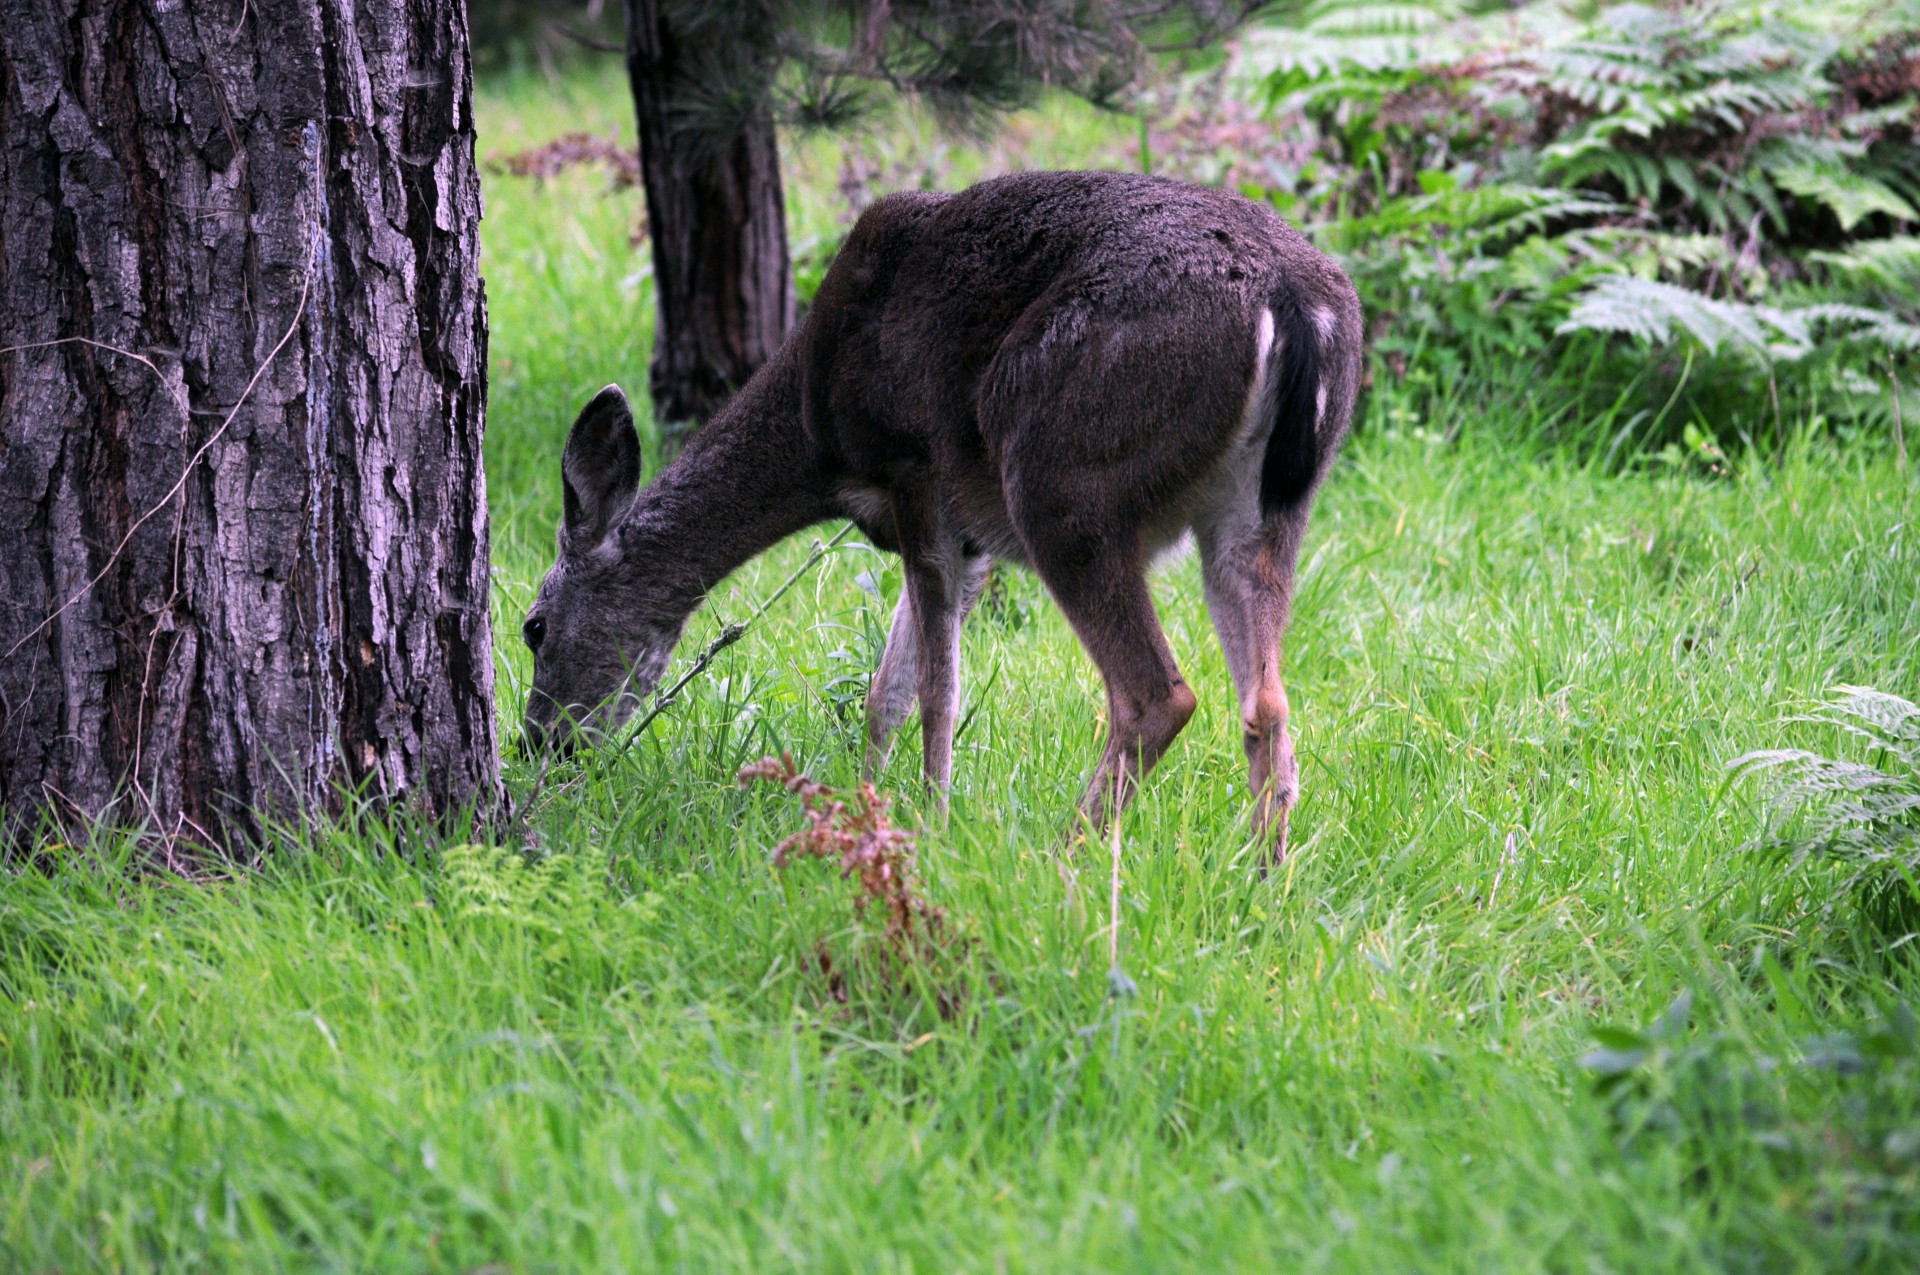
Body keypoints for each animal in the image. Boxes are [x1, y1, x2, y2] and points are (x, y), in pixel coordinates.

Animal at [522, 168, 1367, 856]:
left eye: (533, 626)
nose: (540, 744)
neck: (818, 432)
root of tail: (1294, 300)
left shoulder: (915, 471)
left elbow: (934, 691)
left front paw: (928, 824)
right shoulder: (968, 538)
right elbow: (883, 693)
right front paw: (864, 808)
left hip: (1061, 473)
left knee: (1158, 694)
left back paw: (1061, 854)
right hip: (1265, 507)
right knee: (1266, 700)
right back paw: (1264, 877)